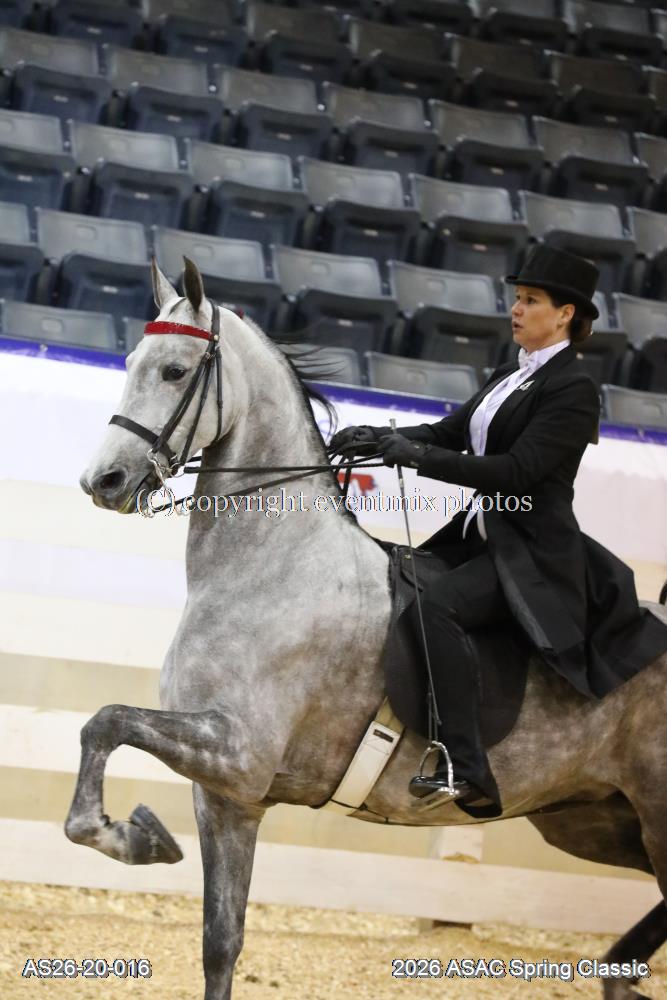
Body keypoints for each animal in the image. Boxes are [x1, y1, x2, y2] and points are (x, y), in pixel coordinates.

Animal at [66, 256, 667, 1000]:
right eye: (129, 362)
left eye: (175, 371)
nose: (103, 481)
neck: (271, 566)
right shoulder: (228, 796)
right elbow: (220, 941)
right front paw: (145, 838)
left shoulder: (240, 753)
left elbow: (106, 721)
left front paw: (127, 834)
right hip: (593, 818)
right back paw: (622, 971)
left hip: (649, 816)